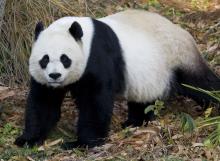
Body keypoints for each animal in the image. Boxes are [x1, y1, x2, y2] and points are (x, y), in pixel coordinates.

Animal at [14, 9, 219, 148]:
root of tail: (183, 31)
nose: (55, 76)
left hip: (178, 57)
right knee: (143, 99)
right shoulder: (46, 81)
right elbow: (44, 102)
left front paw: (82, 142)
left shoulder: (97, 56)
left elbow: (95, 100)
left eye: (65, 59)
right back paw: (135, 121)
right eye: (44, 59)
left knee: (200, 82)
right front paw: (28, 139)